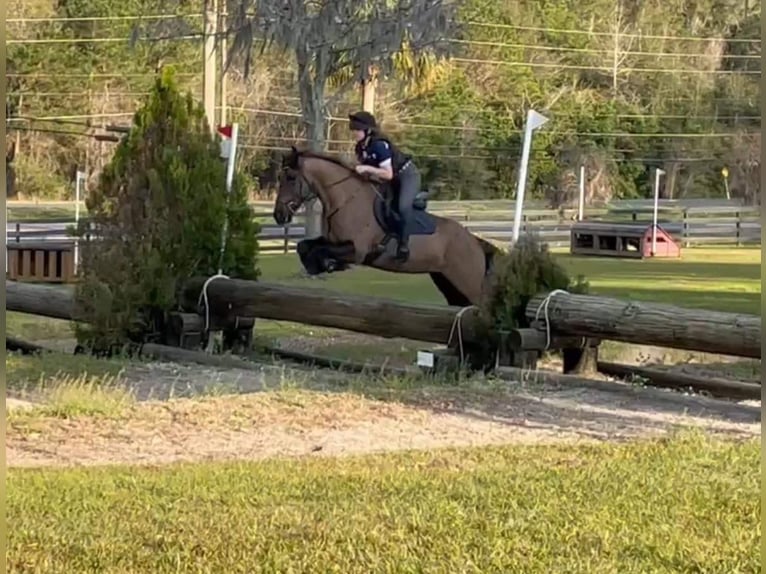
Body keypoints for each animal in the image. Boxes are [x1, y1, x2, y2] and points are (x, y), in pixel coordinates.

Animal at [272, 146, 500, 308]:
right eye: (280, 177)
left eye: (291, 178)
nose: (279, 215)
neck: (345, 199)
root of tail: (475, 242)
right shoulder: (333, 241)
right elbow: (305, 246)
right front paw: (321, 265)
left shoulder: (357, 250)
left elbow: (319, 250)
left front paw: (329, 264)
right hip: (446, 281)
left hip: (468, 283)